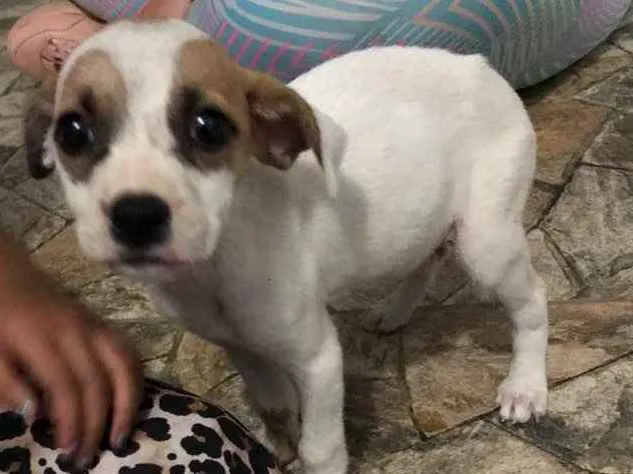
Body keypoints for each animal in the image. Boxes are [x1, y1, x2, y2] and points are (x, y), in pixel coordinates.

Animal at [24, 19, 549, 474]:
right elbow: (273, 407)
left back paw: (525, 386)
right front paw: (277, 447)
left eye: (208, 127)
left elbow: (322, 449)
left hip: (486, 241)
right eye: (72, 131)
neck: (214, 266)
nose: (136, 215)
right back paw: (394, 311)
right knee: (429, 255)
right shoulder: (241, 348)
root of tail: (479, 65)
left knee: (532, 301)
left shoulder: (318, 360)